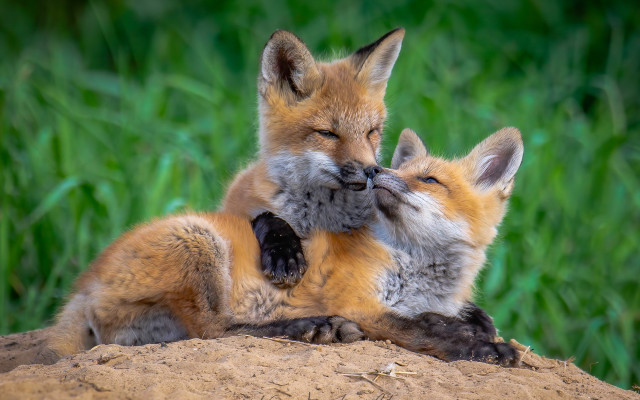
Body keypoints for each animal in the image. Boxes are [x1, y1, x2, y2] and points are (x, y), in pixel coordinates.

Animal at [42, 127, 523, 366]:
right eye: (401, 170)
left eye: (429, 179)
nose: (377, 171)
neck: (421, 270)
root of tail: (86, 279)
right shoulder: (359, 304)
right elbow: (423, 330)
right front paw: (482, 349)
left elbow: (435, 319)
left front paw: (471, 326)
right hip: (200, 243)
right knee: (217, 330)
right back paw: (306, 327)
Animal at [222, 29, 405, 287]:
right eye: (327, 133)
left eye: (371, 132)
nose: (371, 171)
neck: (322, 218)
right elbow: (268, 220)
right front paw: (283, 252)